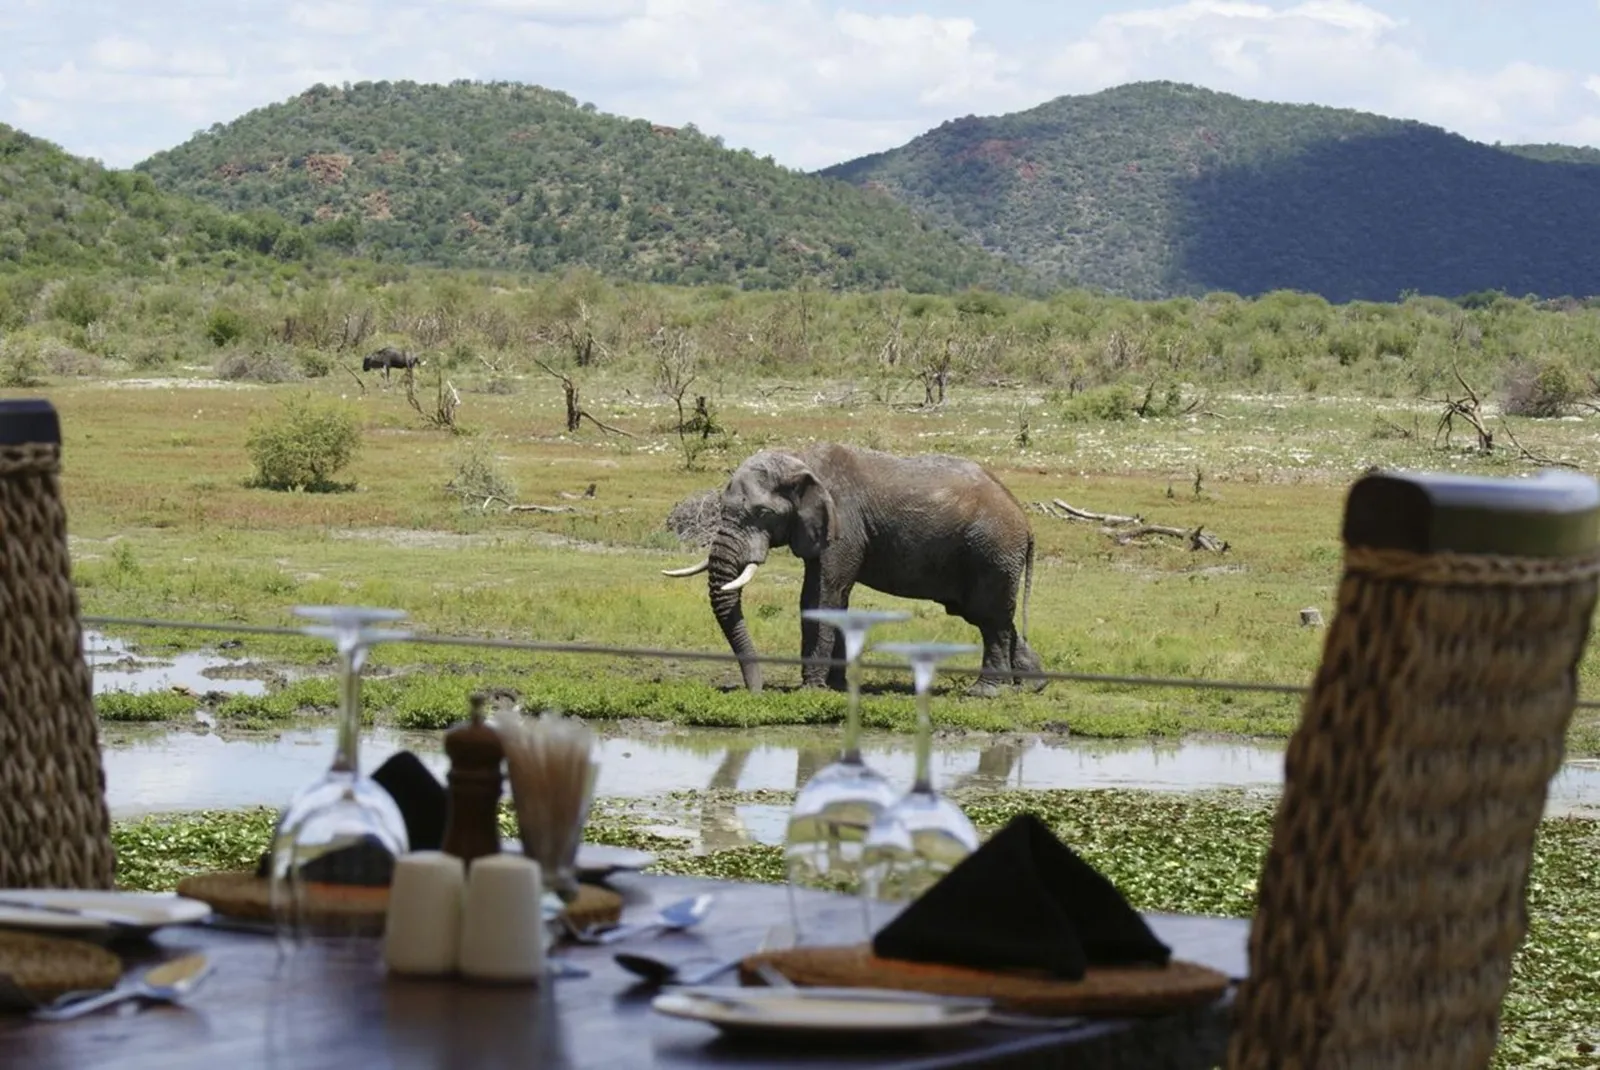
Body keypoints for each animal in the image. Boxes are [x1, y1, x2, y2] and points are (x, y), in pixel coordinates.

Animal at [662, 442, 1044, 698]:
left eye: (762, 513)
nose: (755, 691)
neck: (800, 460)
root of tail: (1025, 521)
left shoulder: (843, 523)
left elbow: (822, 595)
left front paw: (812, 690)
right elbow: (828, 598)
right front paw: (835, 687)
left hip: (992, 551)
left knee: (991, 620)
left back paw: (985, 692)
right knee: (993, 617)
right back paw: (1032, 685)